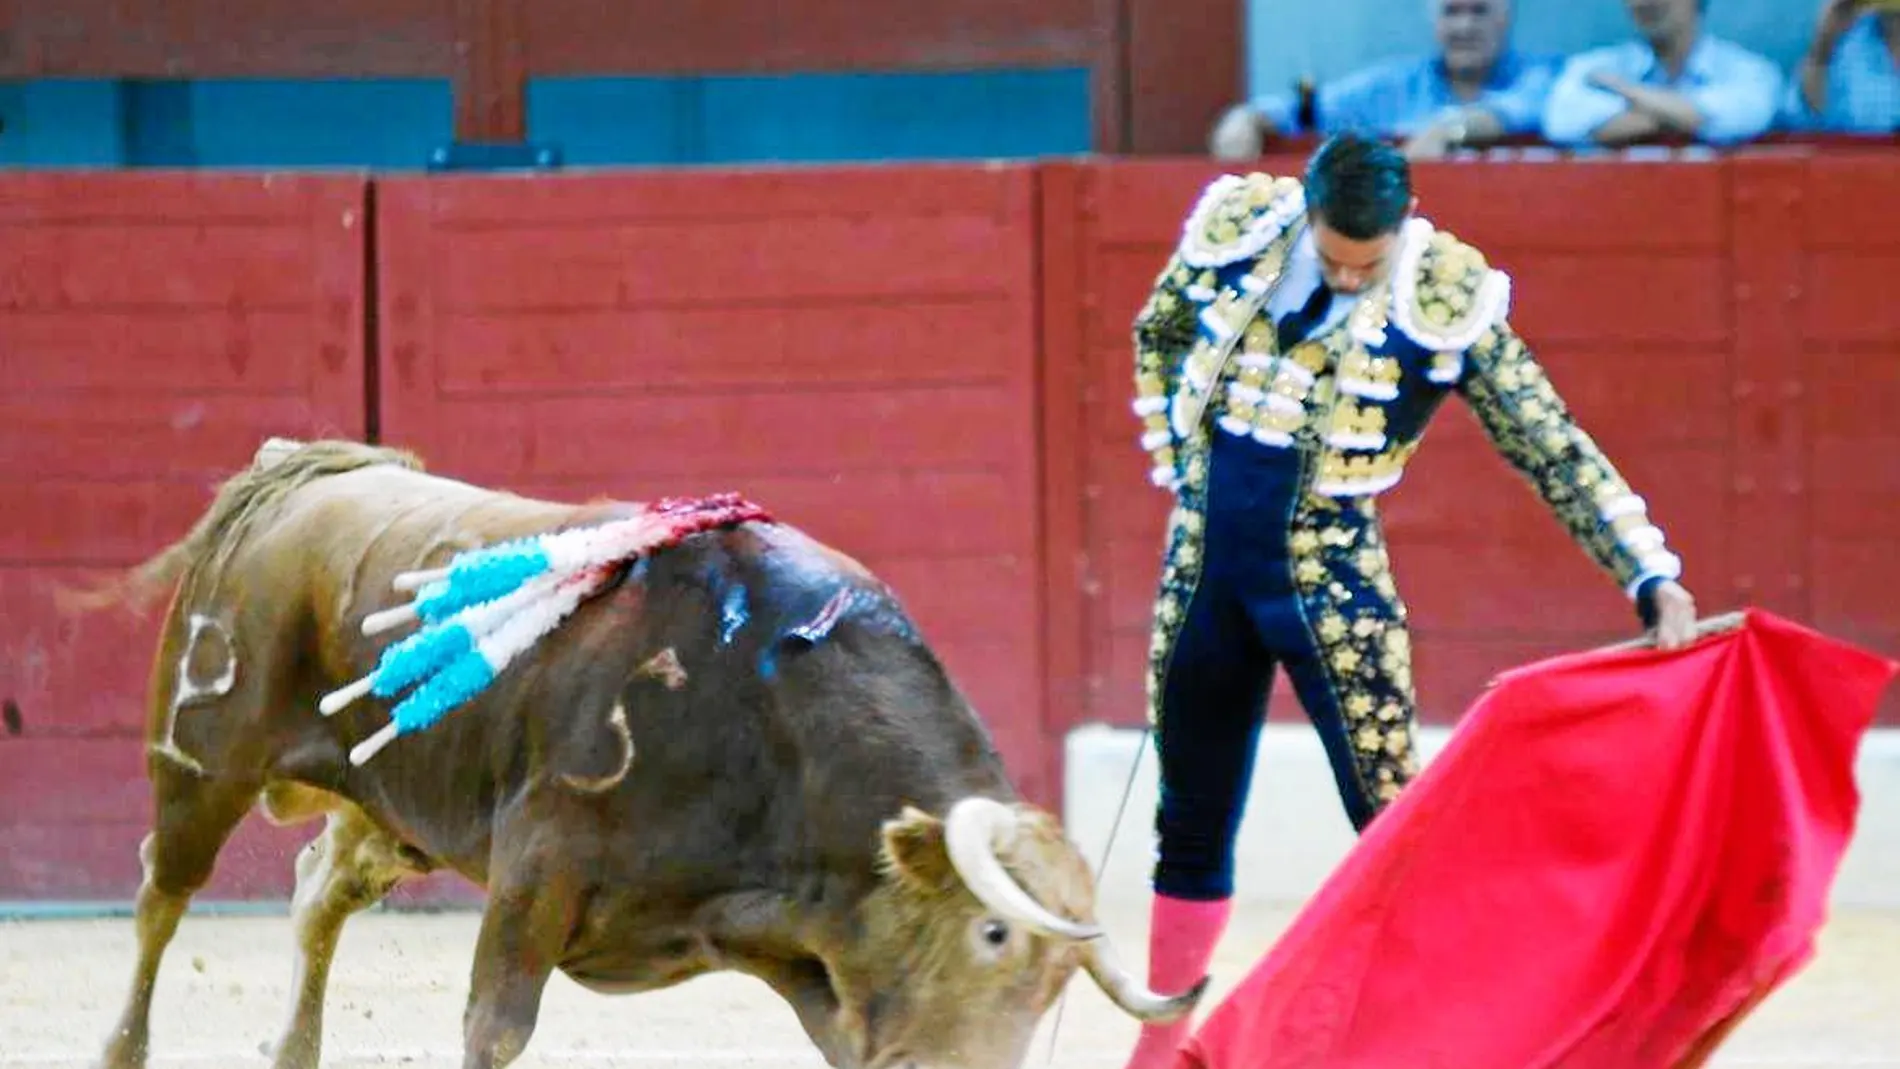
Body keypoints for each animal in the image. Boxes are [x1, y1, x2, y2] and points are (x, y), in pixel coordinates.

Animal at [89, 436, 1200, 1069]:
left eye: (1057, 984)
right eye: (994, 935)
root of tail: (301, 477)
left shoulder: (794, 943)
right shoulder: (536, 872)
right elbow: (495, 1028)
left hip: (392, 812)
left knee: (317, 892)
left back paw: (293, 1051)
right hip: (203, 766)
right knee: (160, 896)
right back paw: (121, 1047)